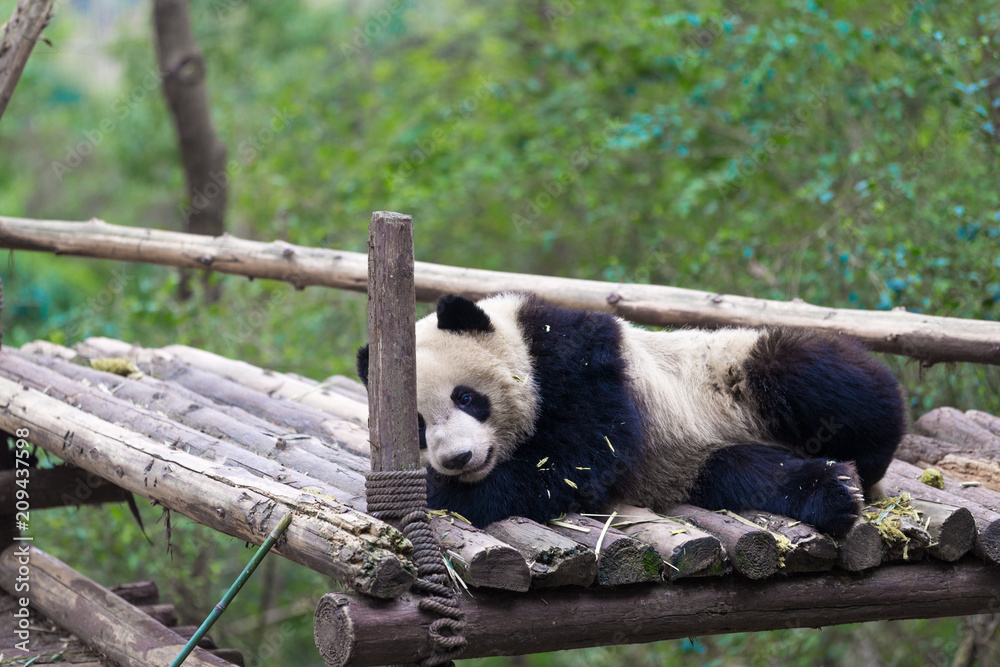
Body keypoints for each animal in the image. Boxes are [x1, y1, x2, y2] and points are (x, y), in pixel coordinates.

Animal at [358, 292, 908, 536]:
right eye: (418, 429)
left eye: (467, 398)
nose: (458, 459)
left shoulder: (576, 356)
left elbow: (577, 456)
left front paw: (442, 494)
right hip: (689, 462)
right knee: (746, 472)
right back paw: (831, 490)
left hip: (729, 370)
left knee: (821, 376)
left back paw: (868, 459)